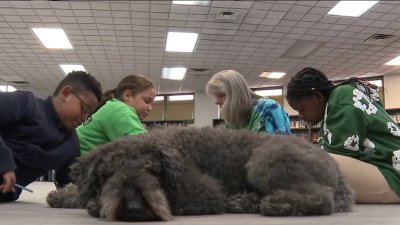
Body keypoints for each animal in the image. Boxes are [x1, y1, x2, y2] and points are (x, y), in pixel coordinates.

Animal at [46, 126, 354, 221]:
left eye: (153, 171)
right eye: (107, 174)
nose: (134, 208)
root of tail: (340, 174)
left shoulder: (203, 191)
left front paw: (94, 205)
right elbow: (79, 192)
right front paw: (62, 196)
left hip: (264, 162)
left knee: (321, 198)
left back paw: (276, 205)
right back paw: (245, 201)